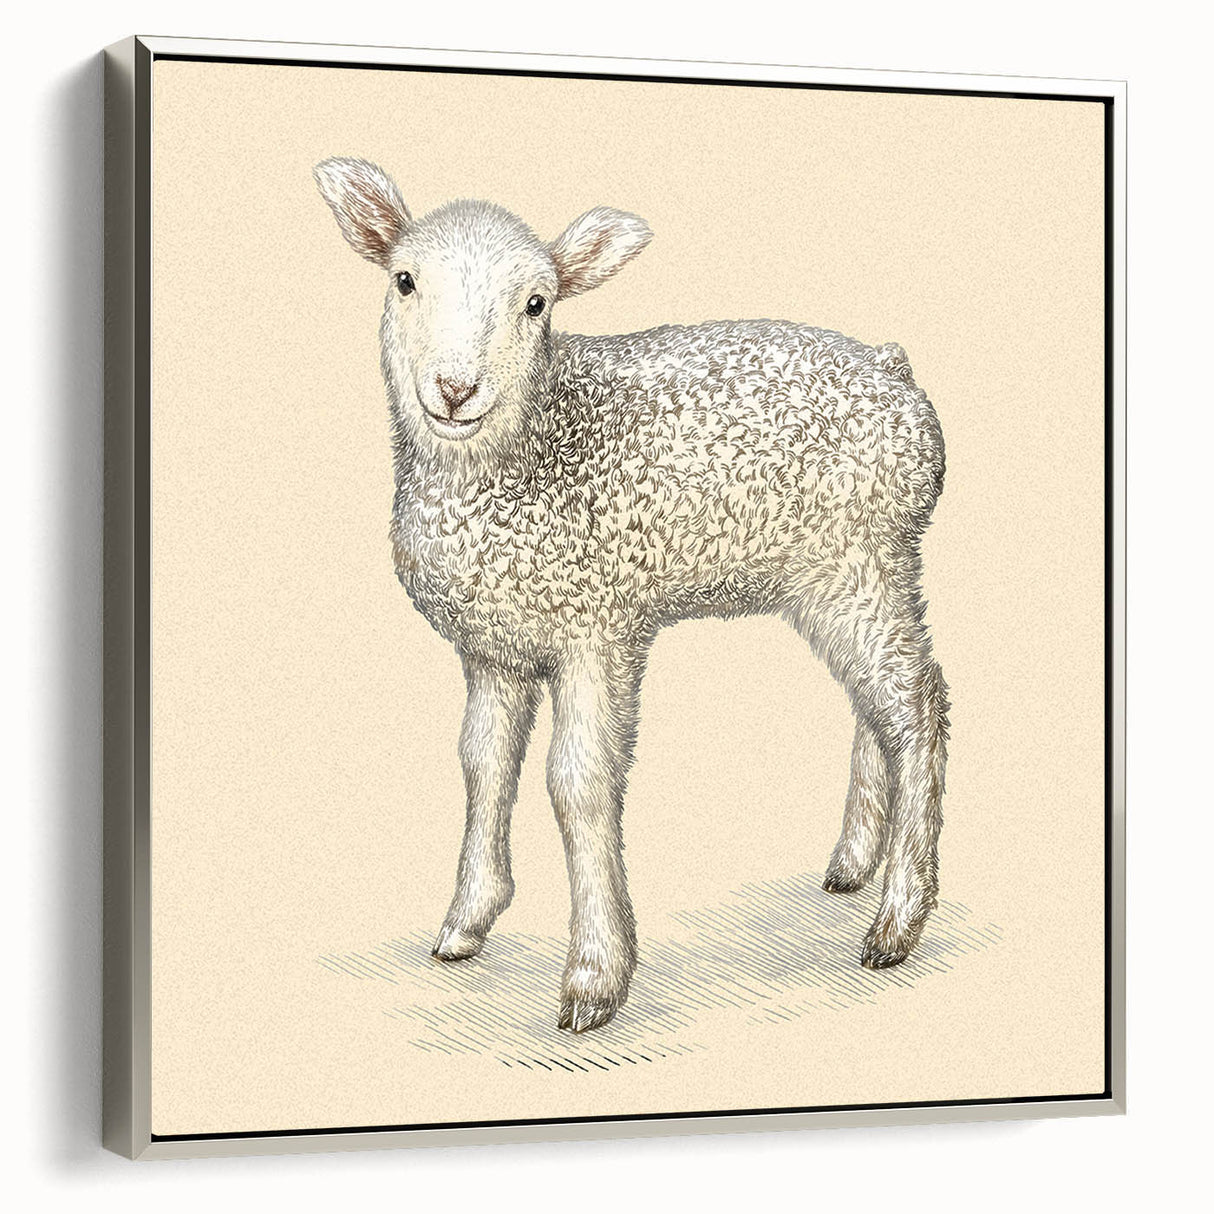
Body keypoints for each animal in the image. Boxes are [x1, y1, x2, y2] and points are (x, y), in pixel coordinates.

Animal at [314, 157, 950, 1034]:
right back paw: (855, 863)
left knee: (917, 704)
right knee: (876, 703)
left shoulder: (598, 627)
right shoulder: (495, 647)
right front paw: (466, 921)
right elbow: (482, 765)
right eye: (404, 280)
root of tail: (896, 369)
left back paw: (897, 920)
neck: (520, 454)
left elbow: (577, 785)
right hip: (845, 576)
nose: (455, 389)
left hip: (862, 561)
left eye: (537, 303)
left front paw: (594, 978)